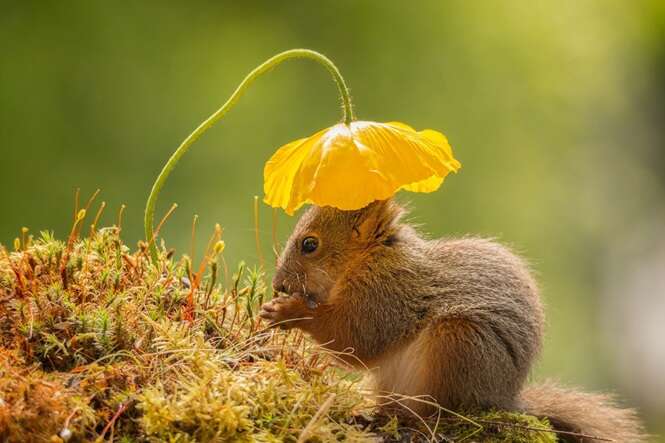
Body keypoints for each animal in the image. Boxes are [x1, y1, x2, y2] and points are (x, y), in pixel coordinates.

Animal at [258, 200, 644, 440]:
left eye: (310, 245)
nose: (279, 285)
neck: (368, 258)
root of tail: (504, 397)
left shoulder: (389, 293)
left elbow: (356, 337)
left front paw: (288, 312)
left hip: (458, 344)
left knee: (446, 411)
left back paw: (418, 419)